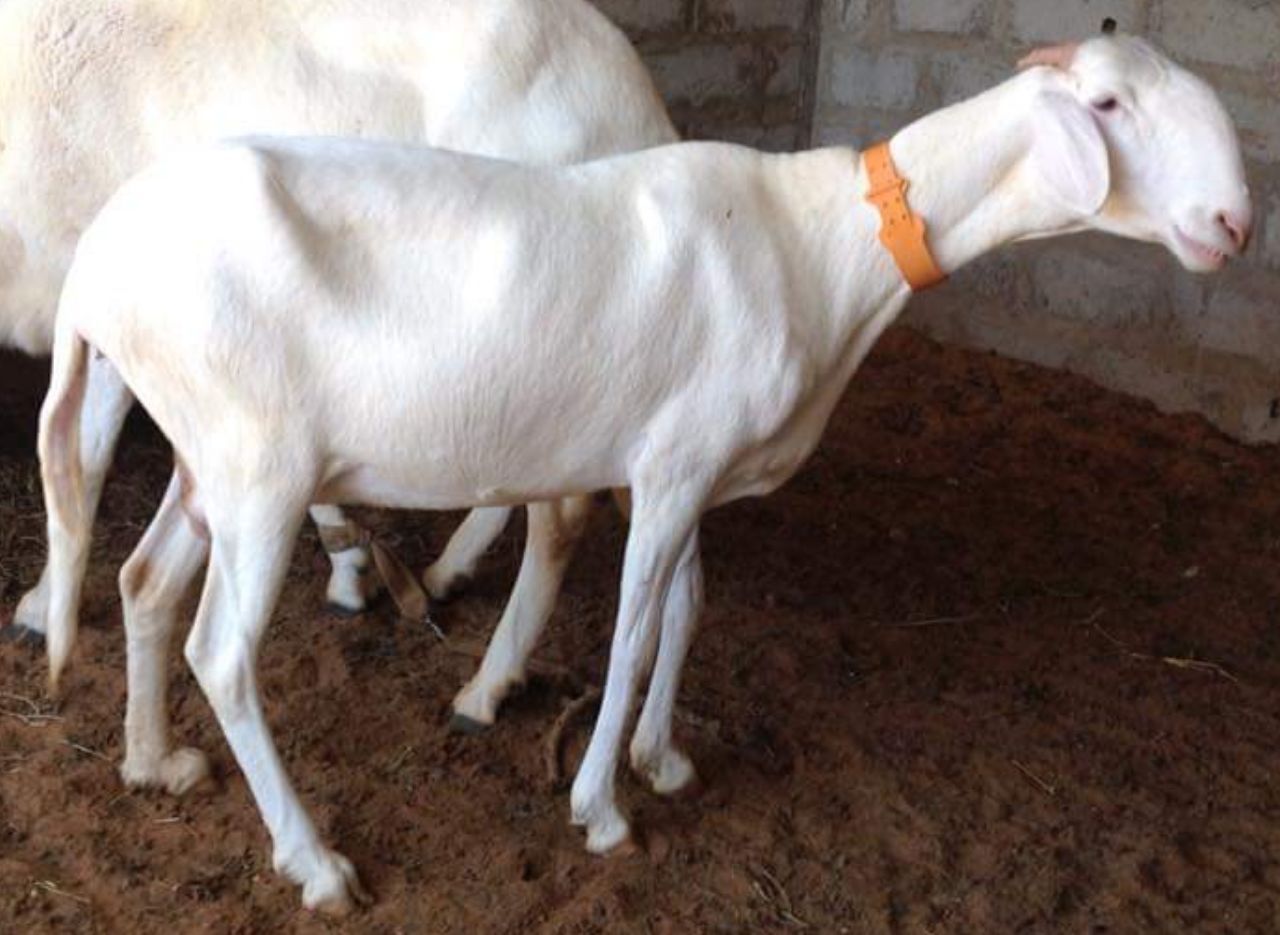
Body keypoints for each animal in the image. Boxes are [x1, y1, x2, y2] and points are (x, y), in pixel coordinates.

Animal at [1, 0, 673, 676]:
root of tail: (640, 111)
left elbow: (82, 459)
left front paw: (40, 606)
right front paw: (350, 568)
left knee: (560, 511)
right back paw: (449, 570)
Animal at [38, 35, 1250, 913]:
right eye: (1109, 108)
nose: (1232, 223)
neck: (823, 247)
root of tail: (93, 264)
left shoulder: (688, 458)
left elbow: (685, 609)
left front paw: (663, 757)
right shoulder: (669, 469)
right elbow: (627, 632)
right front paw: (601, 806)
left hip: (207, 453)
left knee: (143, 584)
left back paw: (153, 763)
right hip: (260, 464)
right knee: (221, 651)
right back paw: (315, 860)